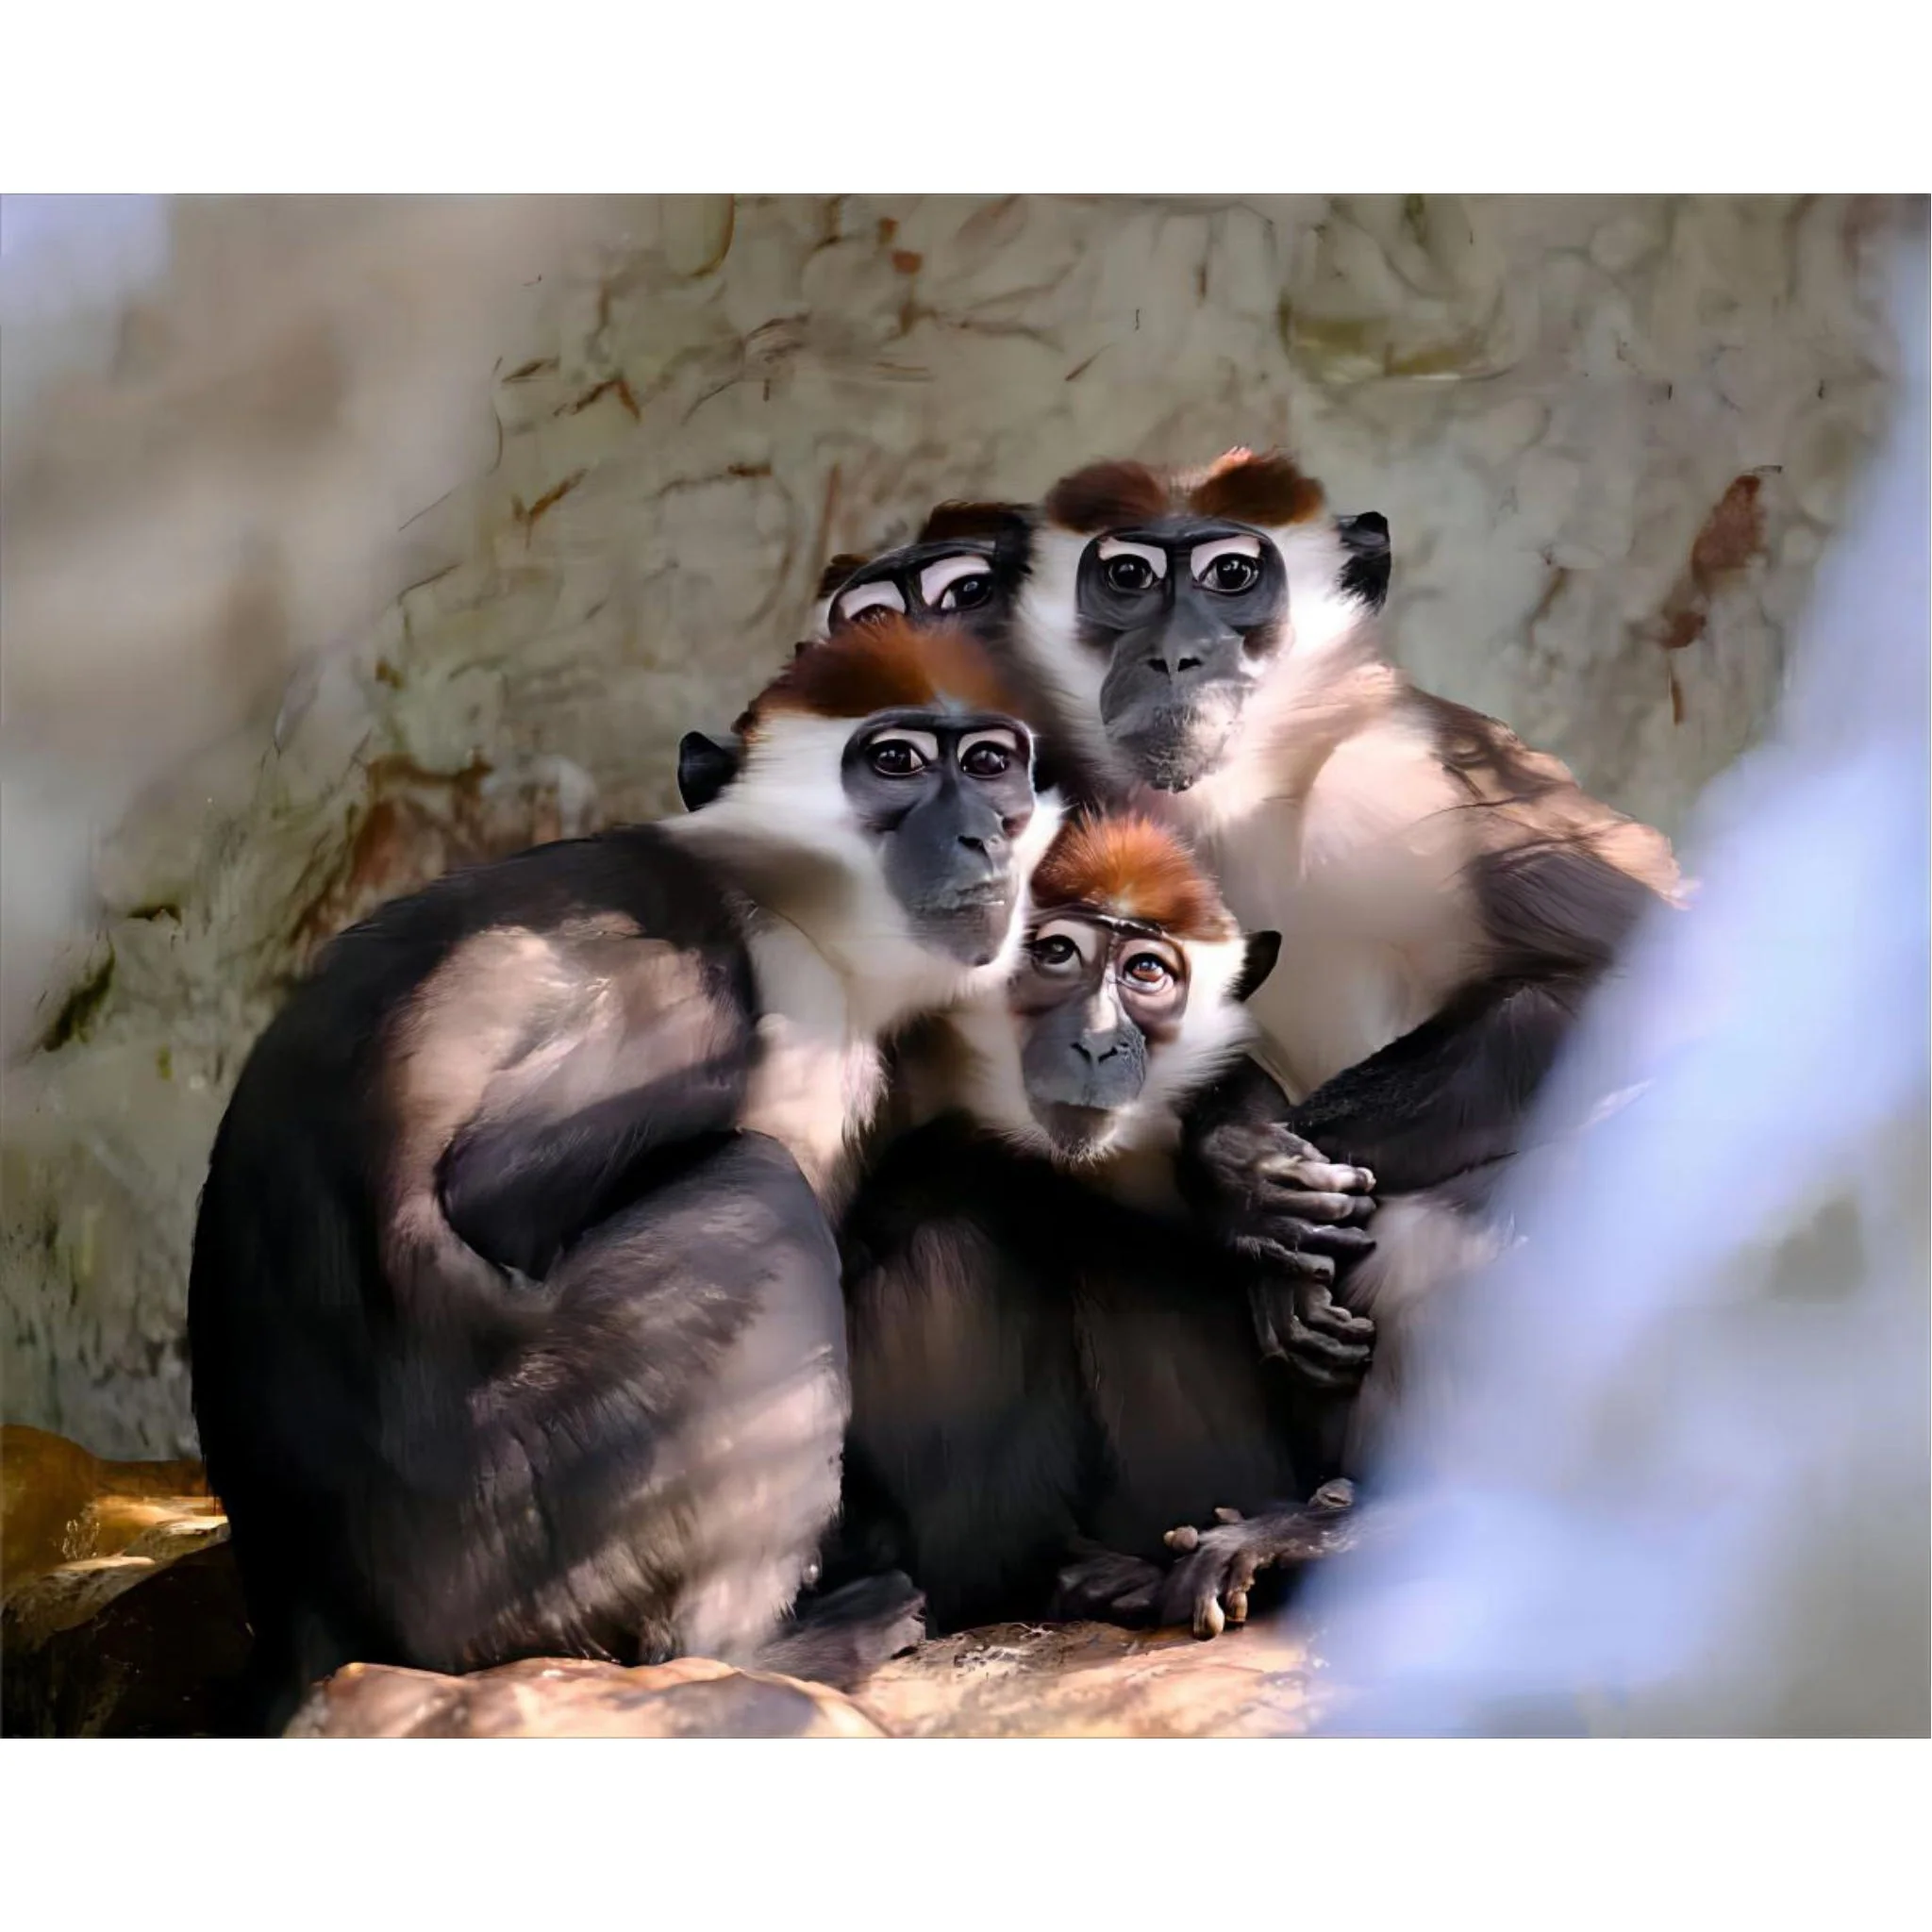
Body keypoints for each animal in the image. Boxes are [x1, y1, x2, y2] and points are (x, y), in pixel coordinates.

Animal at [187, 616, 1065, 1730]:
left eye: (991, 765)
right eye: (897, 762)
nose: (983, 836)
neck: (779, 902)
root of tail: (302, 1611)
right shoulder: (699, 992)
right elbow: (491, 1190)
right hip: (516, 1525)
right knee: (760, 1198)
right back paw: (752, 1652)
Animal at [823, 811, 1379, 1642]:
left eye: (1146, 972)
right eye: (1058, 954)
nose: (1094, 1040)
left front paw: (1249, 1177)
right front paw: (1242, 1190)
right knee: (964, 1250)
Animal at [1004, 447, 1685, 1488]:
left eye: (1230, 575)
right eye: (1125, 576)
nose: (1175, 656)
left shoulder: (1413, 775)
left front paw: (1262, 1178)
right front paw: (1238, 1173)